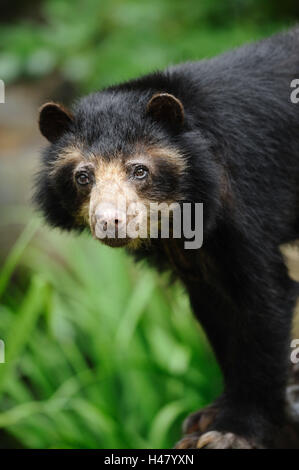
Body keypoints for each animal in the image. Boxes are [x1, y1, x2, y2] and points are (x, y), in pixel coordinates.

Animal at [34, 27, 299, 450]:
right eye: (83, 176)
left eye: (139, 171)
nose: (109, 222)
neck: (180, 210)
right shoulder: (191, 251)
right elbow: (217, 307)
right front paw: (208, 414)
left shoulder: (243, 199)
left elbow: (264, 299)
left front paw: (232, 430)